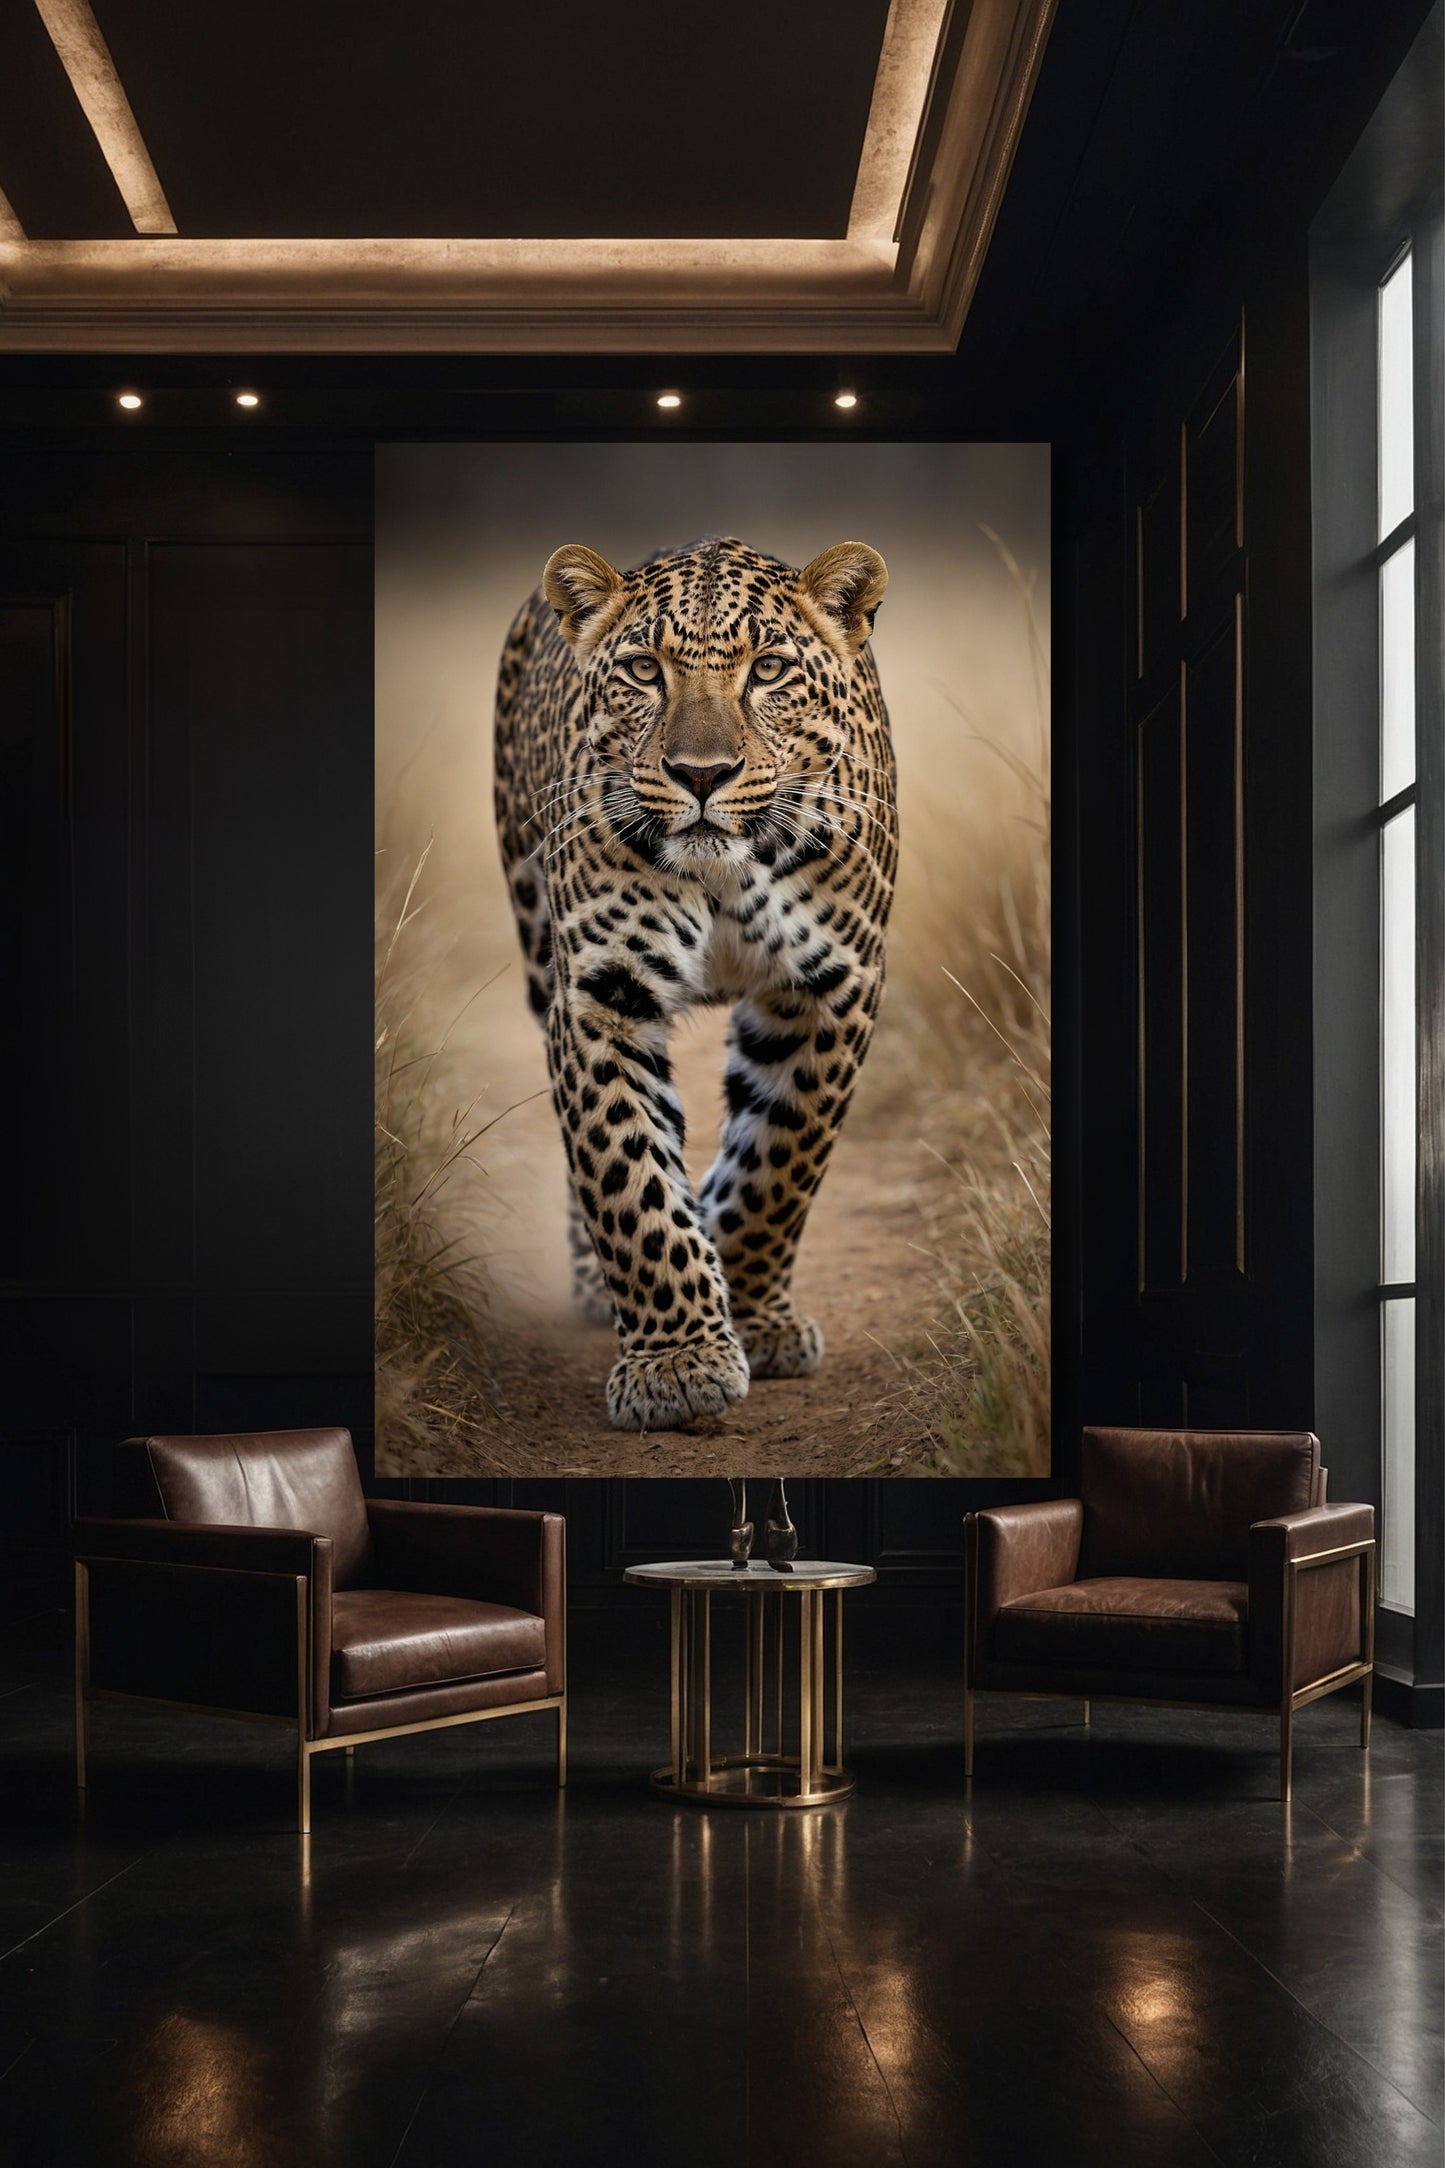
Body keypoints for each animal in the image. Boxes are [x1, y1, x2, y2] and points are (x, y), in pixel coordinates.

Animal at [493, 533, 897, 1432]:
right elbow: (625, 1175)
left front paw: (749, 1313)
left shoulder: (830, 986)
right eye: (644, 671)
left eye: (768, 669)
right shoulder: (600, 995)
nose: (701, 774)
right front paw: (677, 1364)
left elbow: (780, 1161)